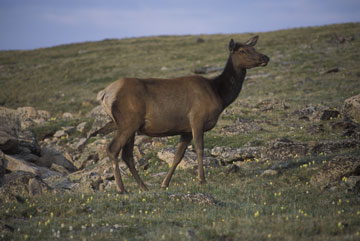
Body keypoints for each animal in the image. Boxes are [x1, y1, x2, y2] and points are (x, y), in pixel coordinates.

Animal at [97, 35, 268, 194]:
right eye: (242, 50)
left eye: (253, 48)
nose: (265, 58)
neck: (219, 94)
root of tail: (105, 94)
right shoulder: (197, 118)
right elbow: (199, 149)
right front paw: (202, 180)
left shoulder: (185, 130)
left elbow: (178, 156)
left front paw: (165, 184)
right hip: (127, 122)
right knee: (112, 149)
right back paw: (121, 188)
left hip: (131, 126)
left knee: (127, 155)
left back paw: (143, 187)